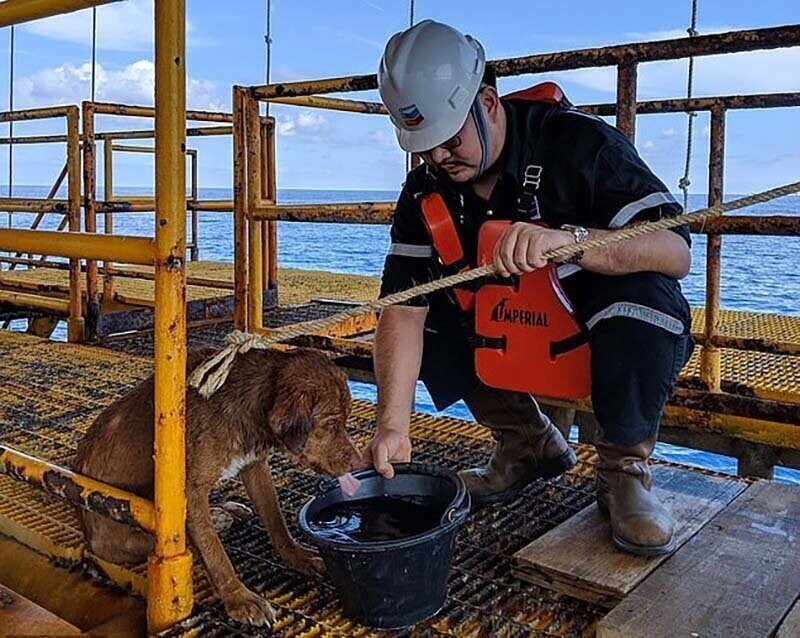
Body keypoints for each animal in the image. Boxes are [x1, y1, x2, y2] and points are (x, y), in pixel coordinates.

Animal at [73, 348, 360, 628]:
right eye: (331, 424)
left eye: (346, 420)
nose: (358, 461)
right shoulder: (191, 491)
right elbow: (214, 551)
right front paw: (239, 598)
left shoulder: (255, 466)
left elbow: (276, 520)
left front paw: (297, 556)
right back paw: (219, 519)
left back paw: (226, 510)